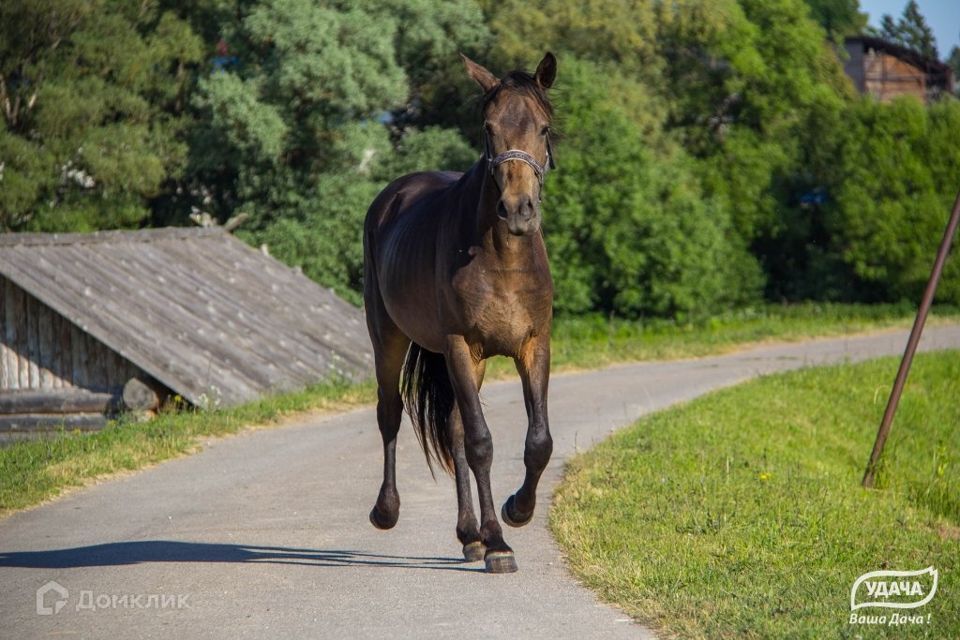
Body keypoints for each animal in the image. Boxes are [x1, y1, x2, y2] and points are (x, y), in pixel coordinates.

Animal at [360, 52, 556, 572]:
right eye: (488, 128)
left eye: (544, 128)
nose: (517, 210)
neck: (502, 255)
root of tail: (391, 197)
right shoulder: (458, 347)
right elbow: (482, 444)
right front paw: (500, 543)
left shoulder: (534, 346)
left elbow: (538, 442)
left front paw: (516, 511)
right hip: (389, 338)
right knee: (391, 414)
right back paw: (387, 512)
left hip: (477, 360)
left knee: (452, 431)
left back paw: (469, 535)